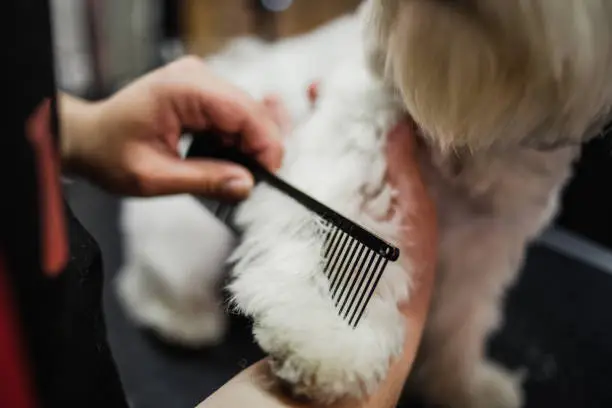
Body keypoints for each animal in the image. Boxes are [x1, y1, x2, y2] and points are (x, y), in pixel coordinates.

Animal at [116, 1, 612, 406]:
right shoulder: (357, 141)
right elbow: (330, 236)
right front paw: (326, 337)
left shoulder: (486, 241)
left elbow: (463, 321)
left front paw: (461, 387)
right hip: (188, 241)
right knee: (150, 282)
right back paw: (183, 319)